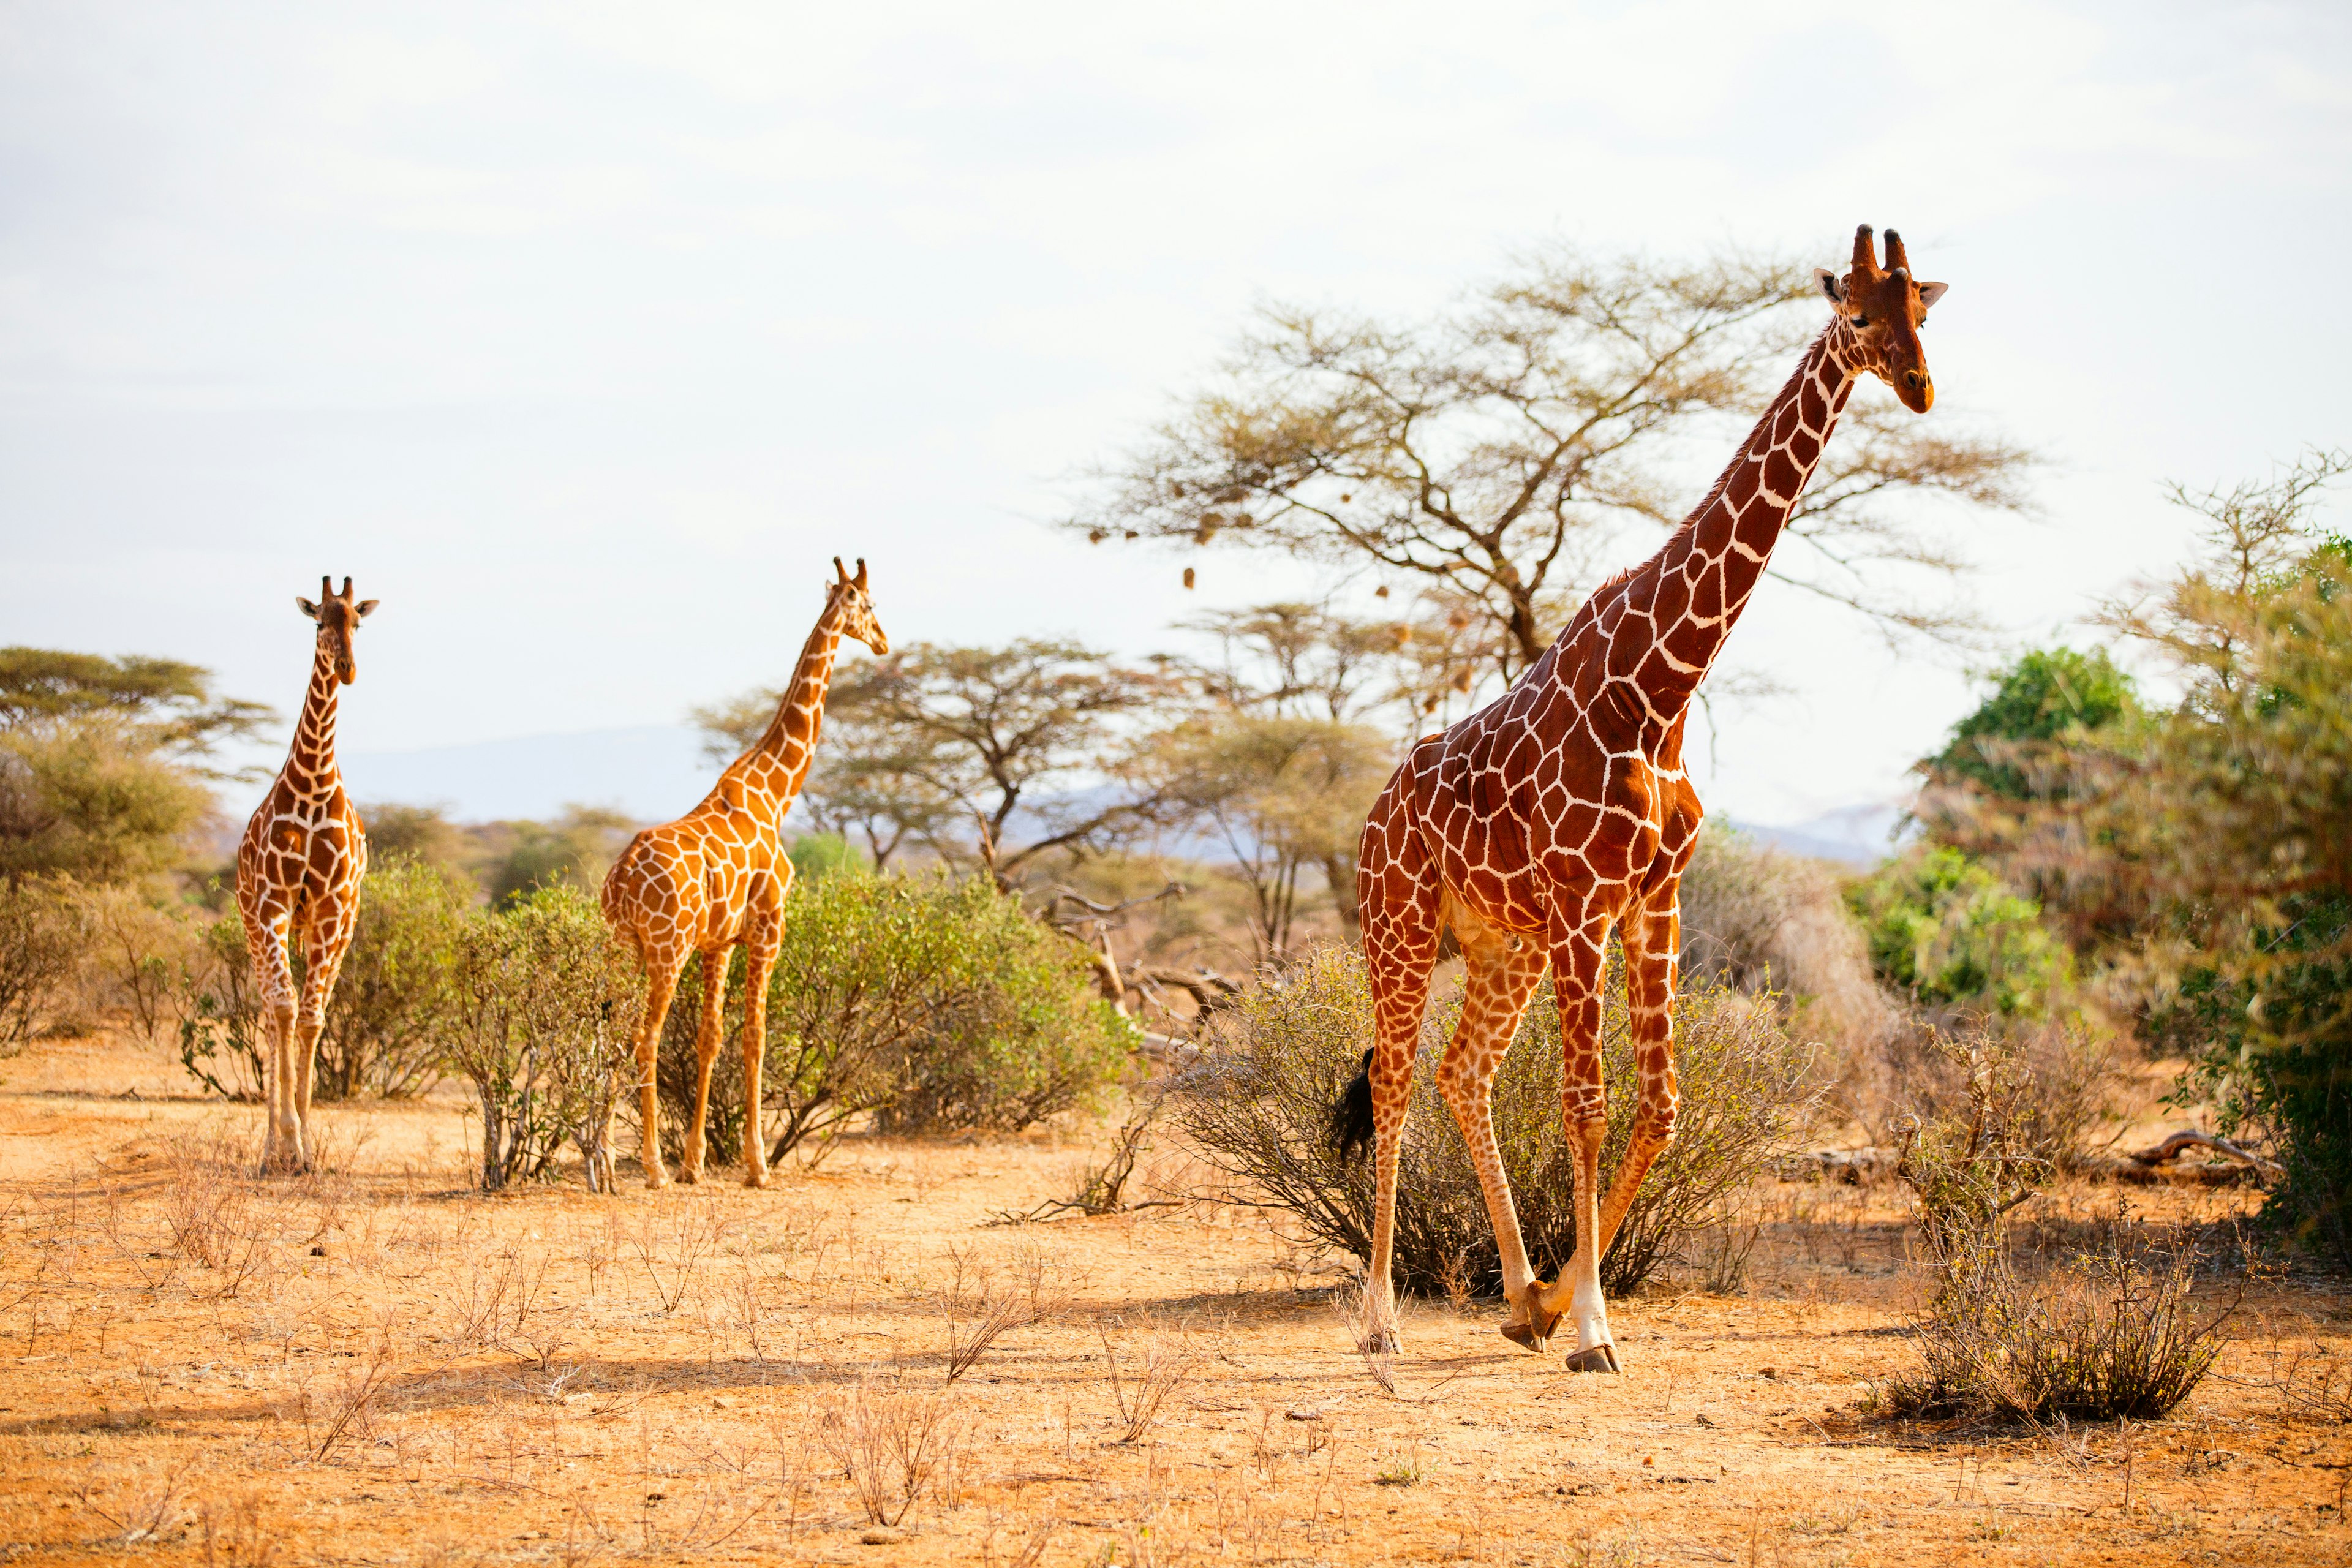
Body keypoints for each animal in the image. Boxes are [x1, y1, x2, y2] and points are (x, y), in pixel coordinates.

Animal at [606, 557, 889, 1185]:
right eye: (870, 604)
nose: (884, 642)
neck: (776, 794)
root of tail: (624, 876)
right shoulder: (768, 930)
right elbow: (756, 1038)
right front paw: (756, 1166)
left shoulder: (719, 943)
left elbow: (711, 1038)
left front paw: (696, 1163)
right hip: (666, 948)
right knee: (645, 1036)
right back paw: (650, 1168)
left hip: (623, 945)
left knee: (606, 1029)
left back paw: (607, 1164)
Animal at [1345, 227, 1947, 1363]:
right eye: (1855, 315)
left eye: (1922, 315)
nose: (1921, 388)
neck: (1661, 686)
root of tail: (1371, 814)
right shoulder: (1588, 903)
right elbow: (1586, 1103)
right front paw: (1590, 1325)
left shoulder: (1654, 898)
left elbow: (1661, 1104)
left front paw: (1554, 1303)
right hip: (1399, 924)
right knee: (1397, 1082)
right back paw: (1381, 1323)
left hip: (1505, 943)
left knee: (1462, 1073)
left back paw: (1516, 1297)